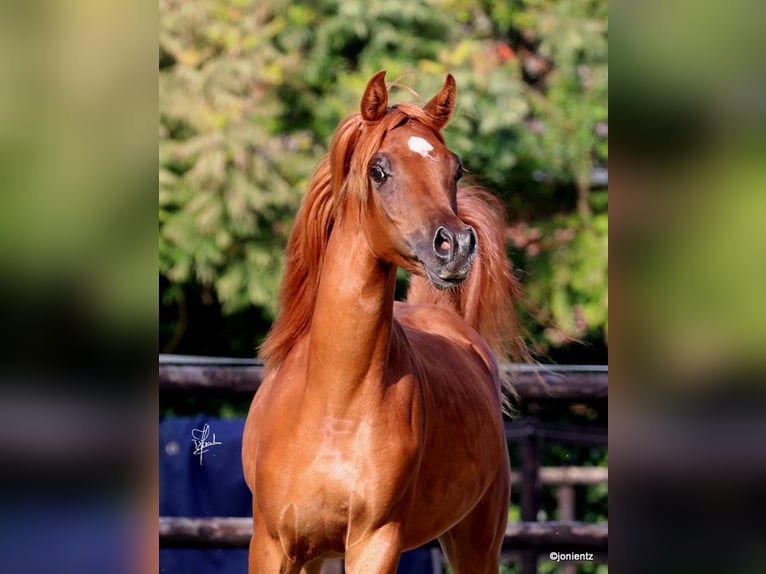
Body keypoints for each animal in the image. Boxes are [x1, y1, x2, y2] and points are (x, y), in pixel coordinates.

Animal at [243, 72, 524, 574]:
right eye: (378, 170)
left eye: (456, 170)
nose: (455, 246)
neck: (333, 403)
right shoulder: (273, 545)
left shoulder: (376, 541)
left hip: (476, 541)